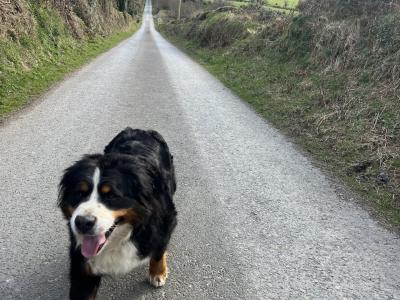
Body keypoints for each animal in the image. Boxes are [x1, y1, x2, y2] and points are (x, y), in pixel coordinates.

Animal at [57, 127, 177, 298]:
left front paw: (158, 273)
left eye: (111, 195)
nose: (83, 222)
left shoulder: (166, 222)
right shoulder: (82, 266)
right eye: (79, 193)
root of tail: (141, 130)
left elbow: (159, 251)